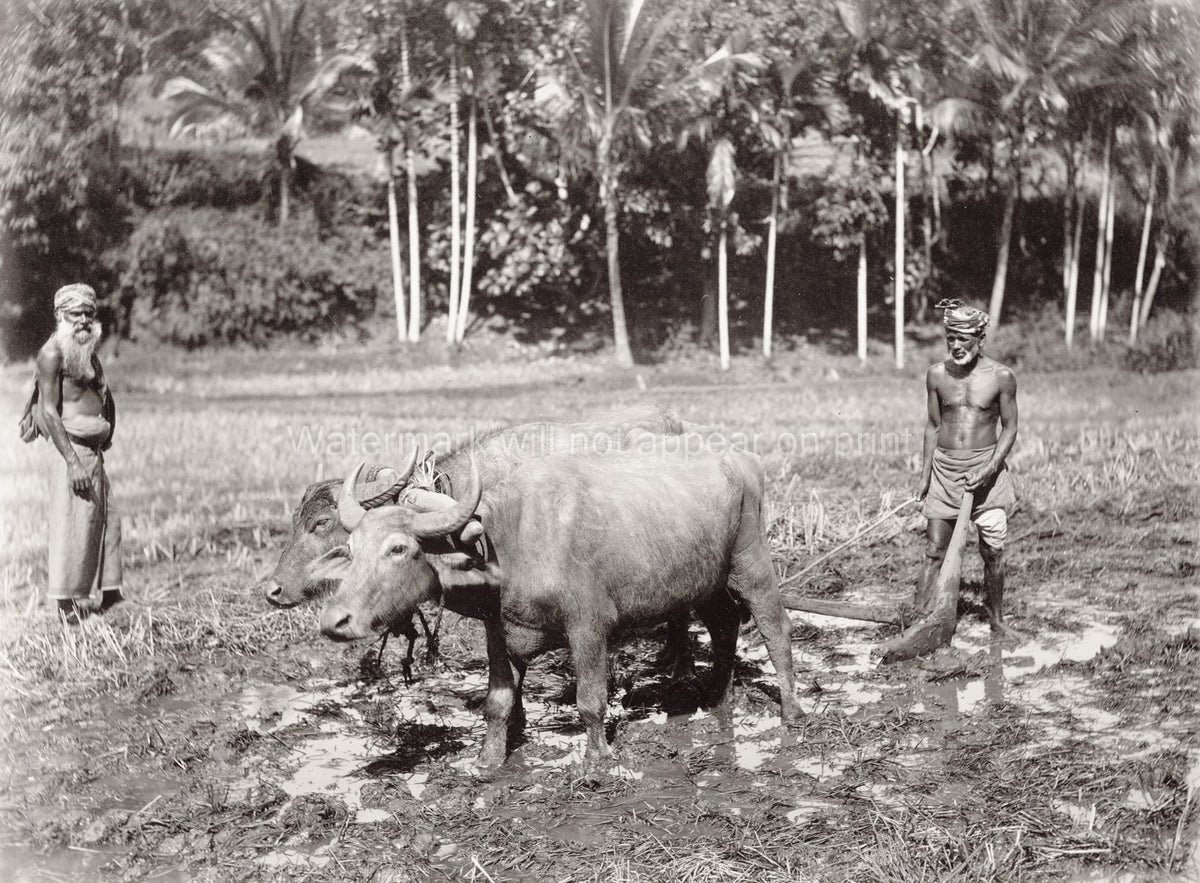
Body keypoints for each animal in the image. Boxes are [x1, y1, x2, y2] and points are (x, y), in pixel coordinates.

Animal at [315, 446, 799, 768]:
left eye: (398, 548)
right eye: (352, 549)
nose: (334, 621)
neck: (509, 543)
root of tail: (743, 462)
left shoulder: (588, 628)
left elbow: (590, 701)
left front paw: (598, 760)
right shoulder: (499, 633)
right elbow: (498, 702)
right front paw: (488, 762)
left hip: (752, 563)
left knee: (775, 629)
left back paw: (791, 713)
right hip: (706, 582)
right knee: (724, 624)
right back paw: (717, 698)